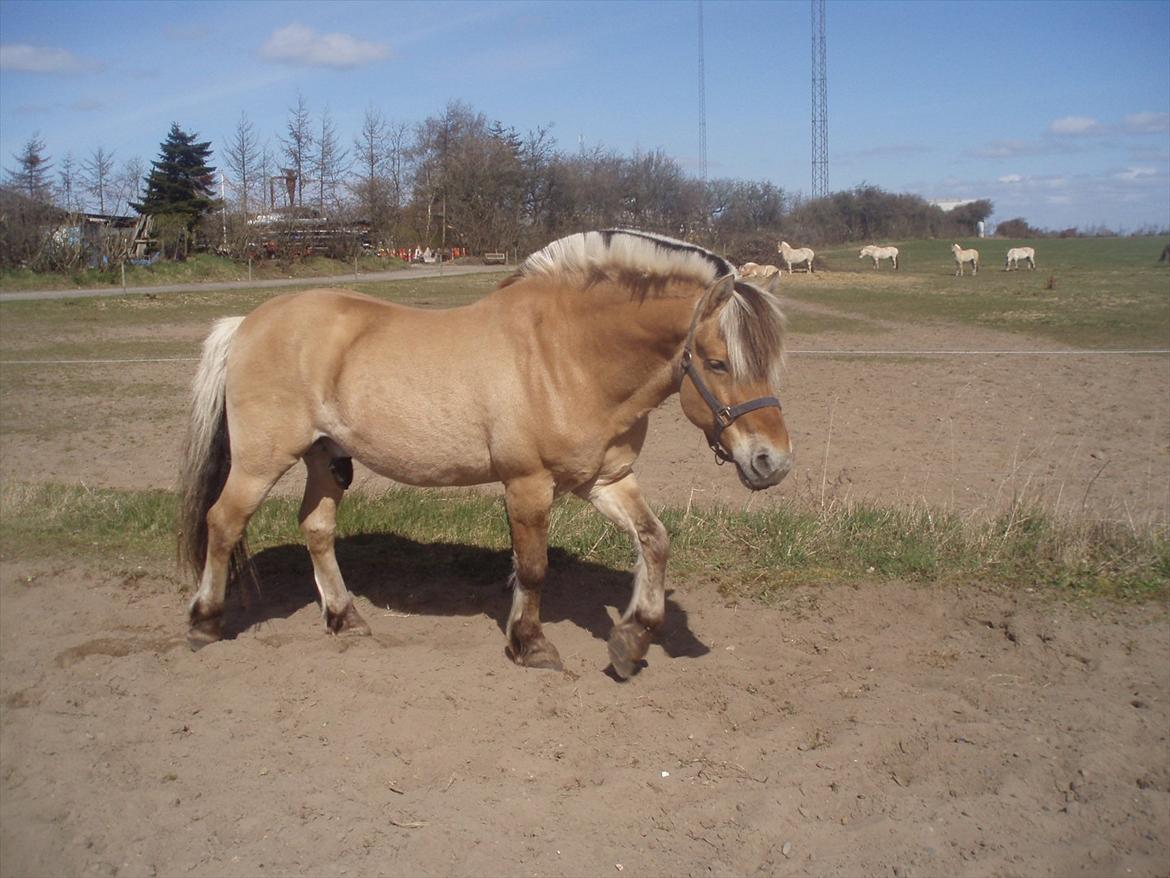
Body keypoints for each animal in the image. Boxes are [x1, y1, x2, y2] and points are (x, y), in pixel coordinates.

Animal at [175, 228, 795, 678]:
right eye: (718, 363)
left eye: (769, 362)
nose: (773, 462)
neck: (566, 355)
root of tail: (247, 323)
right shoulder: (527, 484)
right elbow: (534, 567)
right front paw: (531, 644)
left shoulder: (606, 479)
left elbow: (655, 540)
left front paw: (632, 638)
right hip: (261, 461)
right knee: (222, 522)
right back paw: (205, 623)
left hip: (324, 458)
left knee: (317, 528)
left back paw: (345, 618)